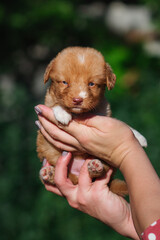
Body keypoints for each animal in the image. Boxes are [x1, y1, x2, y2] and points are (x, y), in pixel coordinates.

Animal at [36, 47, 146, 197]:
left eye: (91, 84)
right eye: (65, 82)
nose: (78, 100)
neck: (80, 113)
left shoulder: (104, 115)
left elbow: (122, 123)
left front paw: (139, 137)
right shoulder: (48, 103)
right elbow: (55, 104)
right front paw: (62, 113)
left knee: (98, 172)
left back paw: (94, 167)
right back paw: (49, 173)